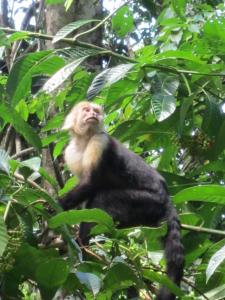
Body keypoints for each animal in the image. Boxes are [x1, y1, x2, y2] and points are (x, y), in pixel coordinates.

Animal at [60, 101, 185, 300]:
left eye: (96, 111)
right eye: (87, 110)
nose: (93, 114)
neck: (84, 140)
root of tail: (167, 198)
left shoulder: (100, 141)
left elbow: (90, 184)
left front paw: (55, 206)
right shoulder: (70, 153)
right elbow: (87, 194)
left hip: (149, 202)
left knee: (103, 199)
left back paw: (83, 243)